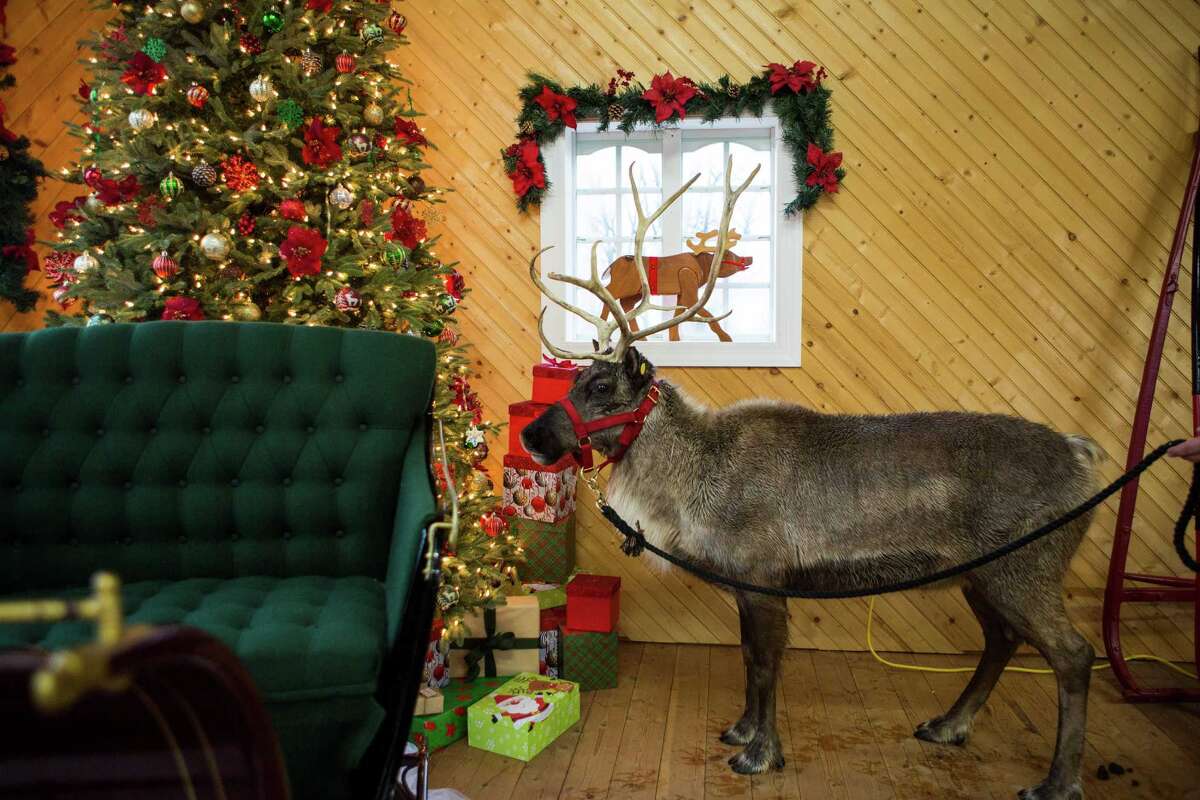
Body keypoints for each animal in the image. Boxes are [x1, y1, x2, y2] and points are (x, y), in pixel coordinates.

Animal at [598, 229, 752, 342]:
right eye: (733, 256)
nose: (750, 258)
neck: (704, 267)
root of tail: (612, 265)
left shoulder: (682, 293)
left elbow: (677, 315)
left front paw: (674, 339)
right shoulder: (688, 279)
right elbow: (705, 313)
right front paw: (726, 338)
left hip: (636, 292)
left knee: (626, 304)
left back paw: (641, 338)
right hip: (623, 285)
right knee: (607, 293)